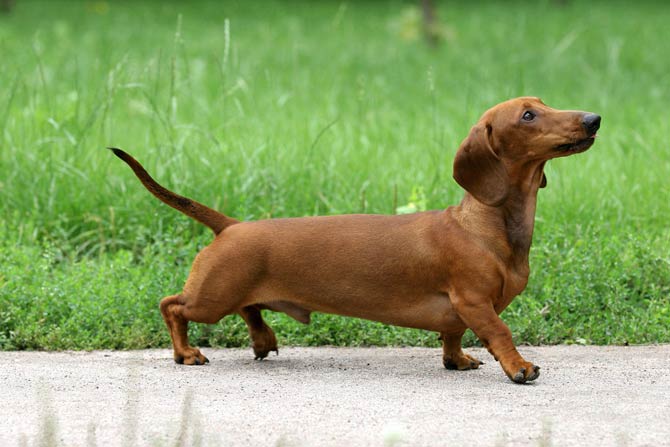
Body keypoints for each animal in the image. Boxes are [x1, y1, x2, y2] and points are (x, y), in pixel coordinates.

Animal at [107, 98, 600, 384]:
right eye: (528, 115)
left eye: (543, 103)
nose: (594, 118)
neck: (484, 225)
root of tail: (231, 225)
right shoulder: (474, 299)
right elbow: (499, 331)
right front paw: (519, 367)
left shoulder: (460, 310)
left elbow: (453, 334)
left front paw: (457, 360)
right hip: (212, 297)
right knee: (172, 305)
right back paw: (186, 353)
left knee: (250, 310)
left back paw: (263, 340)